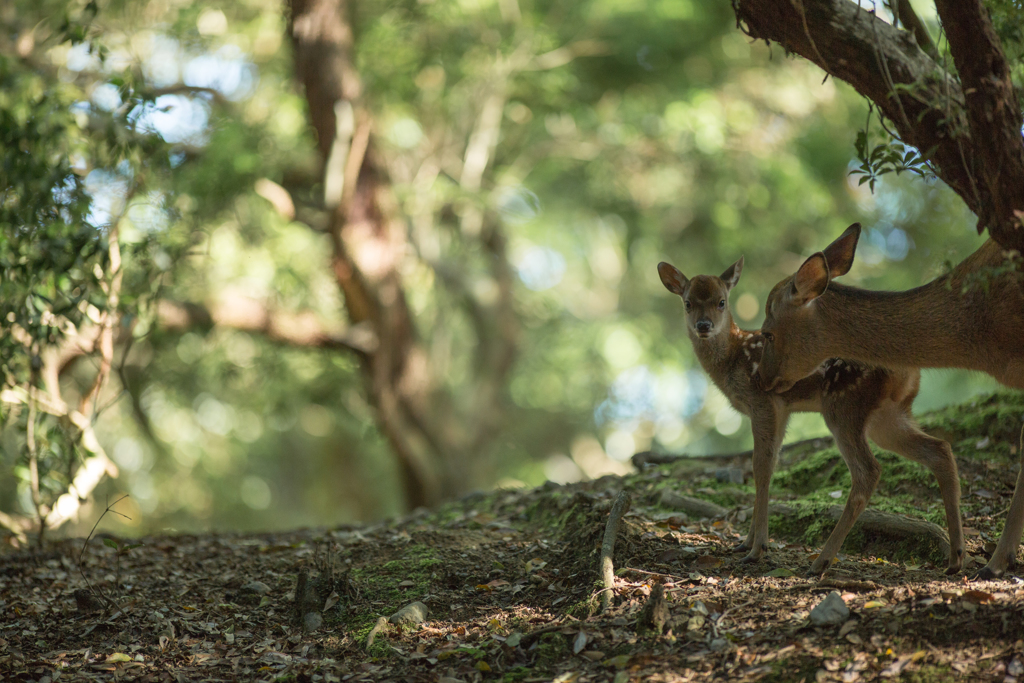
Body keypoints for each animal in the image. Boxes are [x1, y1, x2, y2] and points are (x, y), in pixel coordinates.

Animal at [659, 259, 962, 573]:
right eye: (687, 303)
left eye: (721, 301)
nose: (703, 326)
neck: (733, 359)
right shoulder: (782, 410)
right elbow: (770, 464)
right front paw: (746, 542)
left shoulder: (763, 401)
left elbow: (760, 467)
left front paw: (757, 548)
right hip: (888, 416)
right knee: (940, 449)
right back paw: (956, 557)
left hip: (844, 405)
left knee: (868, 470)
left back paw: (822, 560)